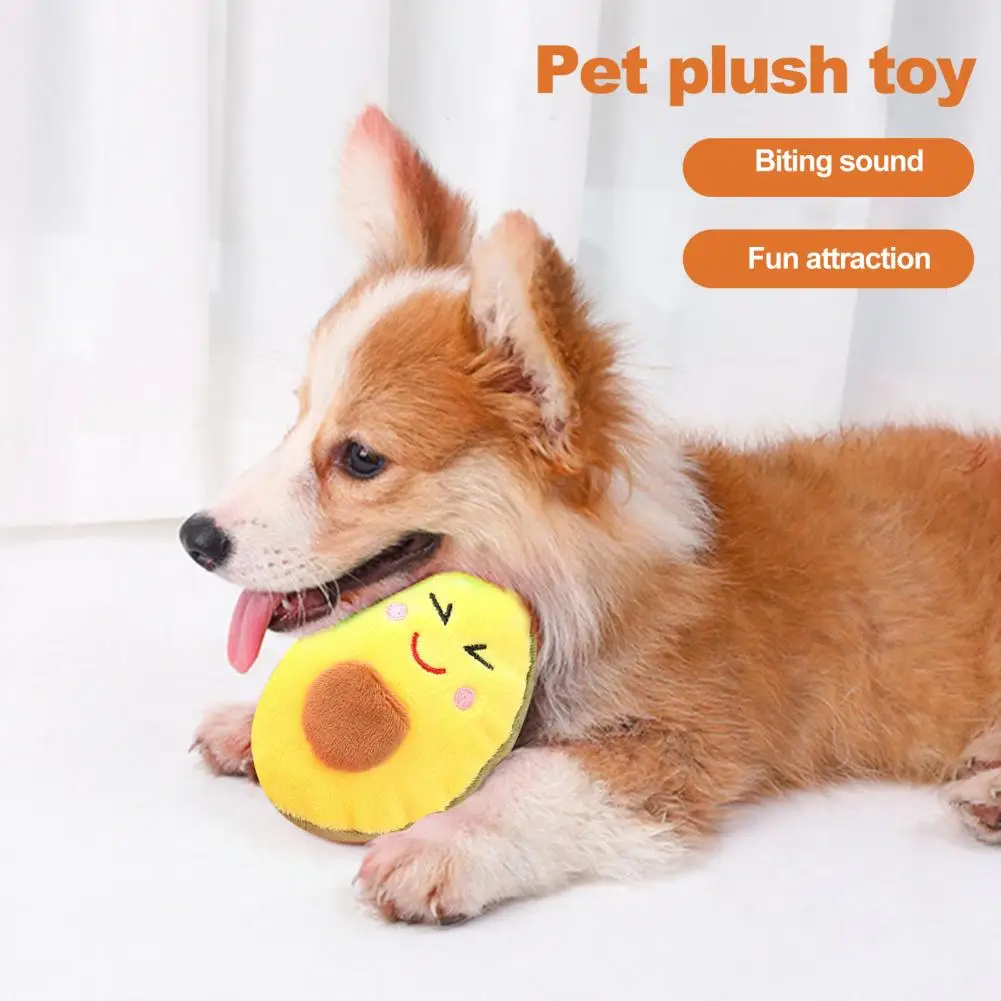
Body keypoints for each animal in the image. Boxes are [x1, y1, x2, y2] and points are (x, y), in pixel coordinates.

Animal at [183, 106, 1001, 924]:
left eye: (359, 457)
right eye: (295, 419)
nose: (195, 537)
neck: (569, 581)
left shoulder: (681, 741)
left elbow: (534, 778)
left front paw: (441, 845)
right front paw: (251, 726)